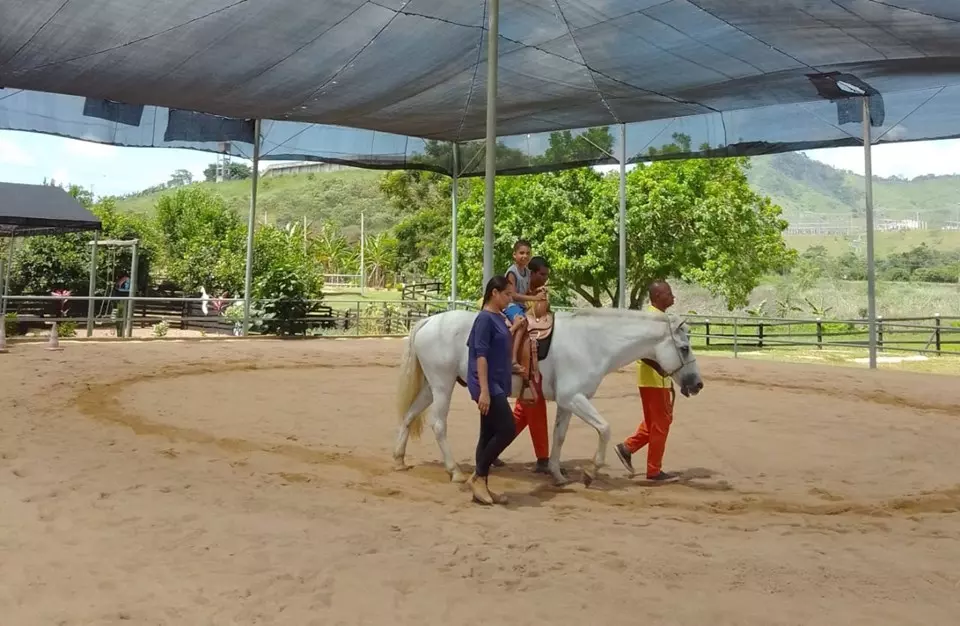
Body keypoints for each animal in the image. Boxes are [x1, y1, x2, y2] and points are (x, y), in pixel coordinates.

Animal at [394, 304, 700, 486]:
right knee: (438, 425)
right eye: (685, 348)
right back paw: (454, 470)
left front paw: (557, 473)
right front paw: (590, 472)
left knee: (408, 416)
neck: (591, 341)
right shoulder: (573, 397)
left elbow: (559, 436)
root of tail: (428, 321)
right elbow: (604, 428)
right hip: (442, 385)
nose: (697, 384)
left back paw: (399, 460)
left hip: (430, 387)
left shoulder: (568, 402)